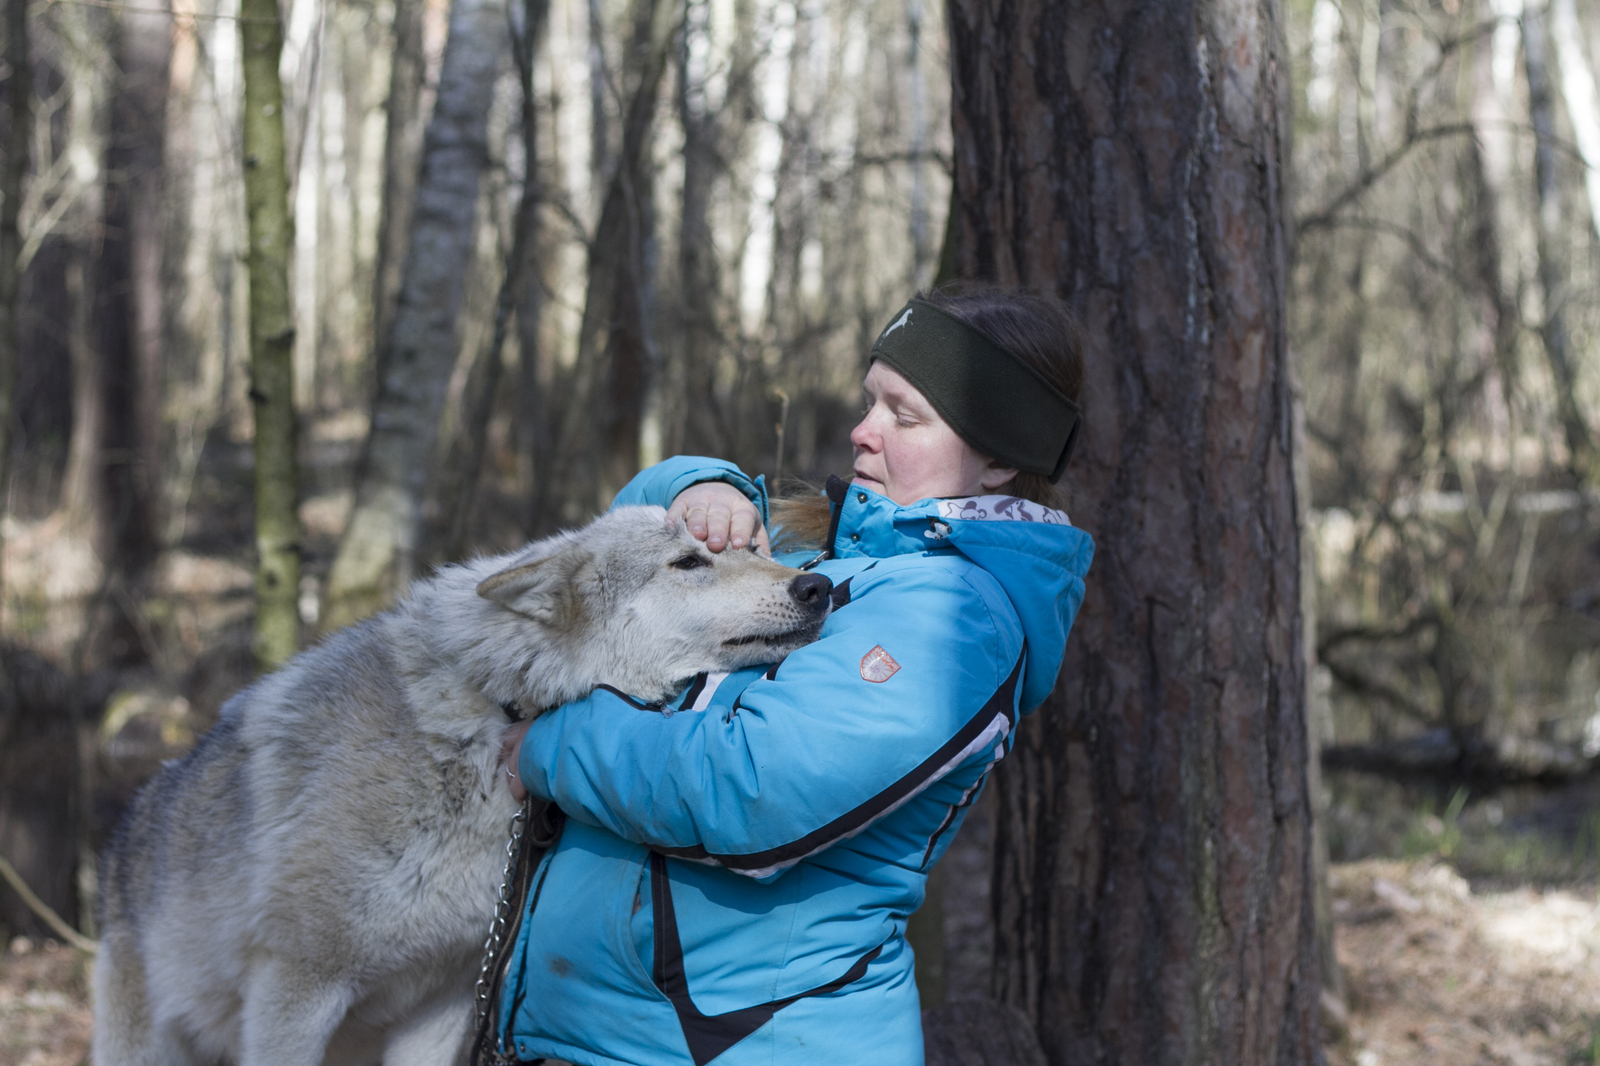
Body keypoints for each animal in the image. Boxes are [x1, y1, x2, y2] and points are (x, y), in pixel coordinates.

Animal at [92, 505, 832, 1062]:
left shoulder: (446, 995)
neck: (490, 712)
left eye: (747, 549)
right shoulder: (297, 987)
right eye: (688, 563)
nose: (817, 588)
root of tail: (121, 839)